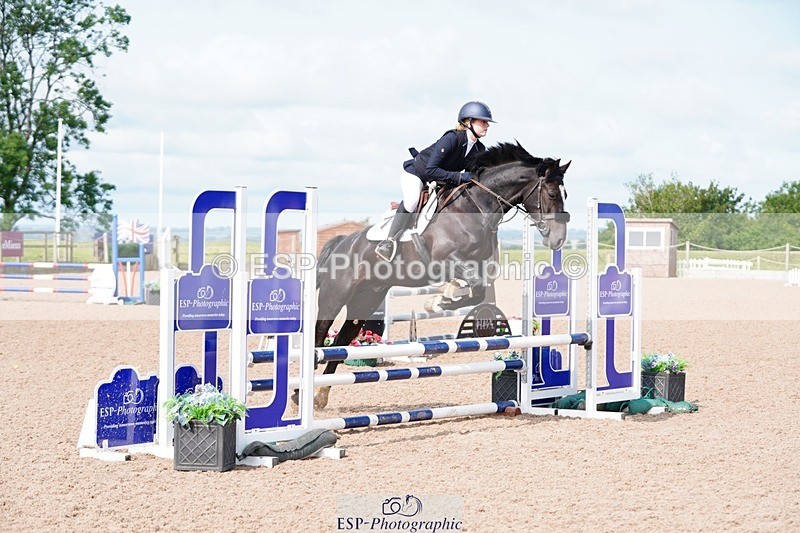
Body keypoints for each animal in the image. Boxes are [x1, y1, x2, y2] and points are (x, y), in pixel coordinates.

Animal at [313, 141, 571, 408]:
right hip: (335, 296)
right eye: (552, 195)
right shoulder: (445, 260)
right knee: (320, 334)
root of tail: (342, 242)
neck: (475, 207)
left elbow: (477, 291)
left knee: (342, 341)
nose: (558, 239)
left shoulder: (478, 265)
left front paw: (443, 299)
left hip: (366, 299)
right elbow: (474, 287)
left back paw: (319, 395)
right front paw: (438, 302)